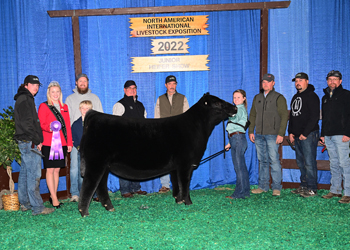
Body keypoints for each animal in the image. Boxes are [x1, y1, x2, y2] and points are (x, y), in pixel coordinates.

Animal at [79, 93, 237, 216]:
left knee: (101, 186)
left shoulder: (176, 166)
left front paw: (178, 200)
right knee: (88, 185)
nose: (235, 107)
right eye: (217, 102)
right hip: (96, 163)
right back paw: (84, 212)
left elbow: (177, 183)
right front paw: (188, 202)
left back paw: (109, 208)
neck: (196, 127)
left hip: (104, 166)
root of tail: (94, 115)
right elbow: (185, 184)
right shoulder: (185, 164)